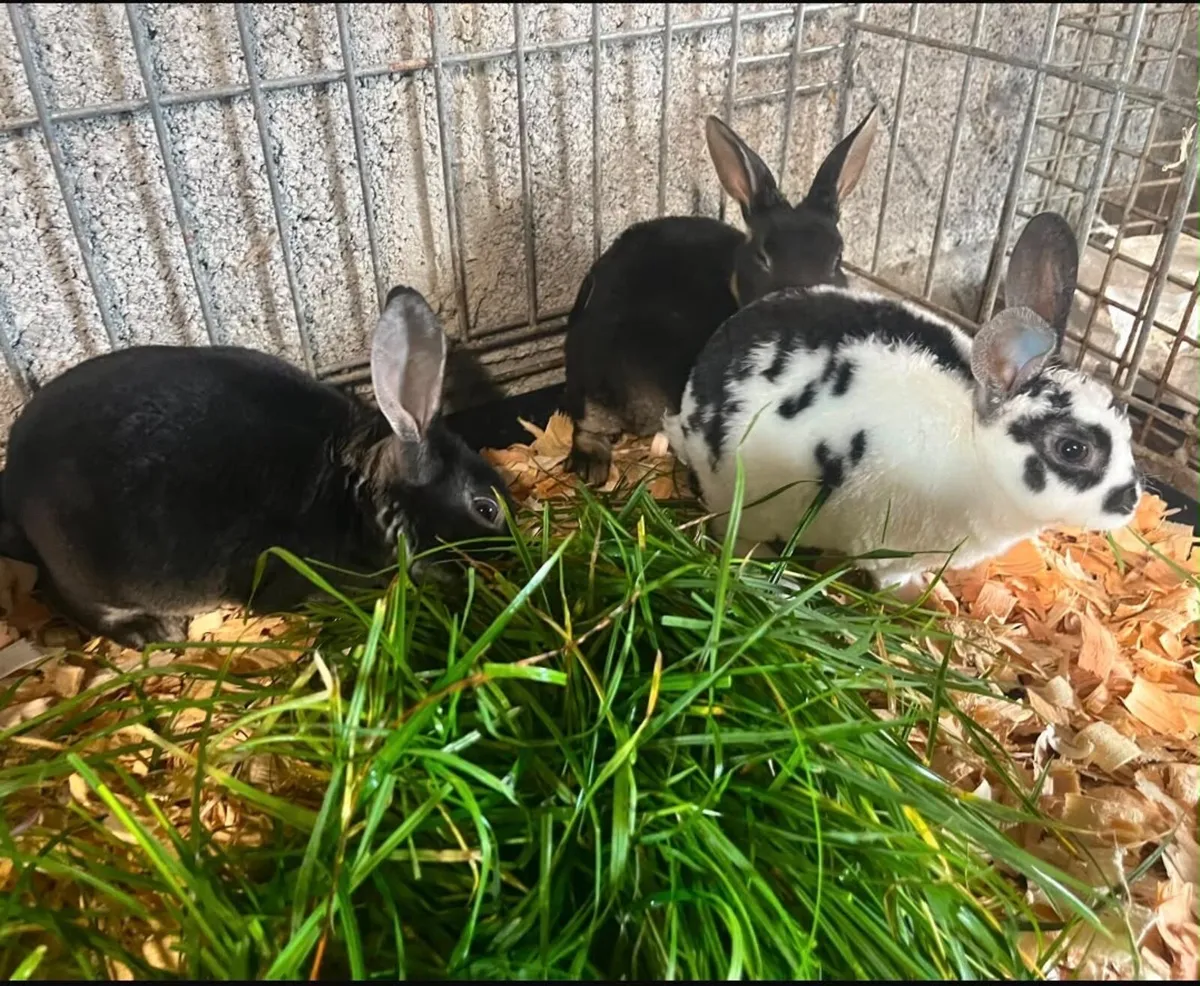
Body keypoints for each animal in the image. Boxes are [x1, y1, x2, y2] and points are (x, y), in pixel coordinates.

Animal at [0, 285, 516, 650]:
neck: (359, 486)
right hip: (85, 569)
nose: (511, 556)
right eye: (486, 509)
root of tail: (13, 478)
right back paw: (154, 632)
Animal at [663, 211, 1144, 601]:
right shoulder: (891, 548)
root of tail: (692, 399)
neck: (978, 449)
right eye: (1072, 449)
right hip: (745, 502)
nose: (1129, 500)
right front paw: (926, 599)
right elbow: (891, 577)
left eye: (1125, 424)